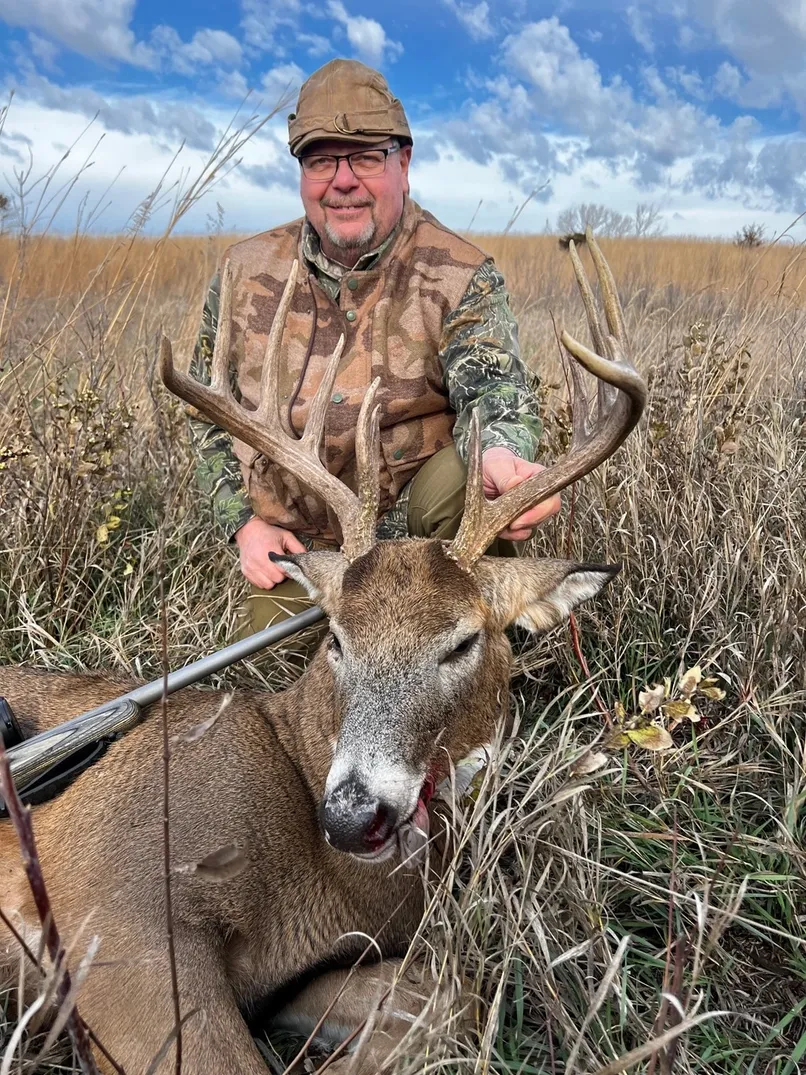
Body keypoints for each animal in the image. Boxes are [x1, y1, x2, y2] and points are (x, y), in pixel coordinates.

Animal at [0, 232, 646, 1075]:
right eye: (336, 635)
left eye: (464, 640)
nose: (351, 814)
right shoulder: (114, 893)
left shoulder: (308, 969)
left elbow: (453, 996)